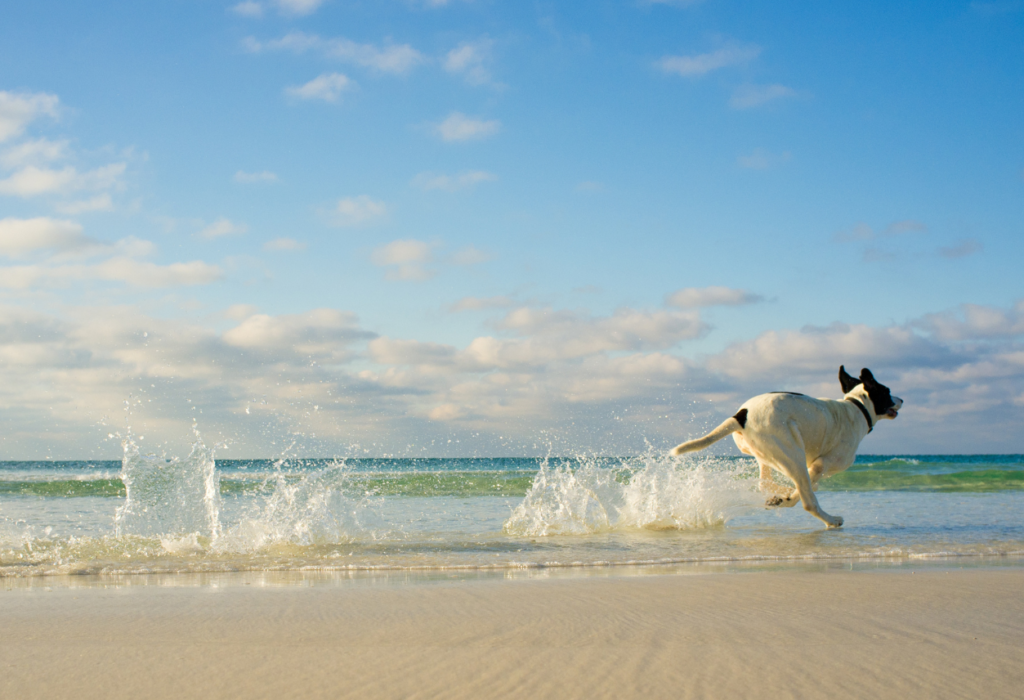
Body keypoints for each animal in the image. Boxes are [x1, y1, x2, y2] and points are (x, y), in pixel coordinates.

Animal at [671, 368, 905, 528]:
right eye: (887, 391)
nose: (902, 399)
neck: (857, 407)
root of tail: (741, 415)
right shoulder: (820, 464)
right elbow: (805, 490)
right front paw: (788, 498)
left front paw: (783, 496)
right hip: (792, 454)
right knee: (808, 500)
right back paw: (830, 519)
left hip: (768, 454)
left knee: (765, 482)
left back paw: (780, 494)